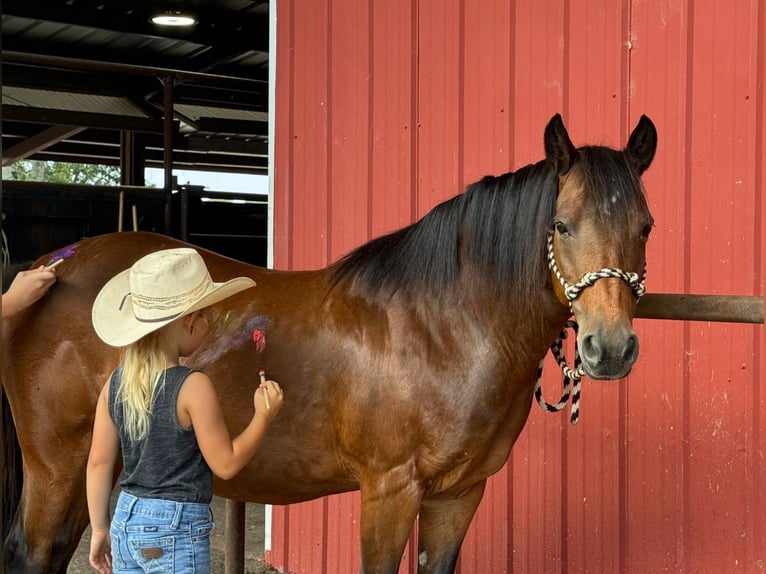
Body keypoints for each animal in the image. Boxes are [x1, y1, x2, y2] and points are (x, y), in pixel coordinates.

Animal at [3, 115, 656, 572]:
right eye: (561, 225)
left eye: (646, 226)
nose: (609, 349)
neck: (444, 326)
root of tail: (51, 267)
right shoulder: (389, 493)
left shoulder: (458, 495)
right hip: (57, 467)